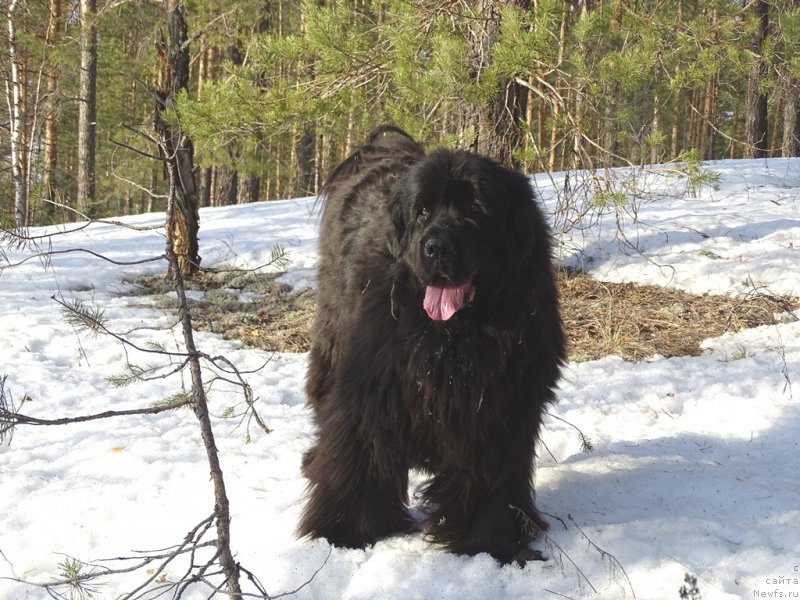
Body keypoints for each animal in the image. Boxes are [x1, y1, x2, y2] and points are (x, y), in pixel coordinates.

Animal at [296, 125, 564, 564]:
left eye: (475, 208)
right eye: (422, 212)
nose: (436, 247)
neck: (454, 336)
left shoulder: (499, 403)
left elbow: (492, 474)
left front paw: (491, 541)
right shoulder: (372, 387)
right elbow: (361, 454)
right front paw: (346, 532)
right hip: (333, 335)